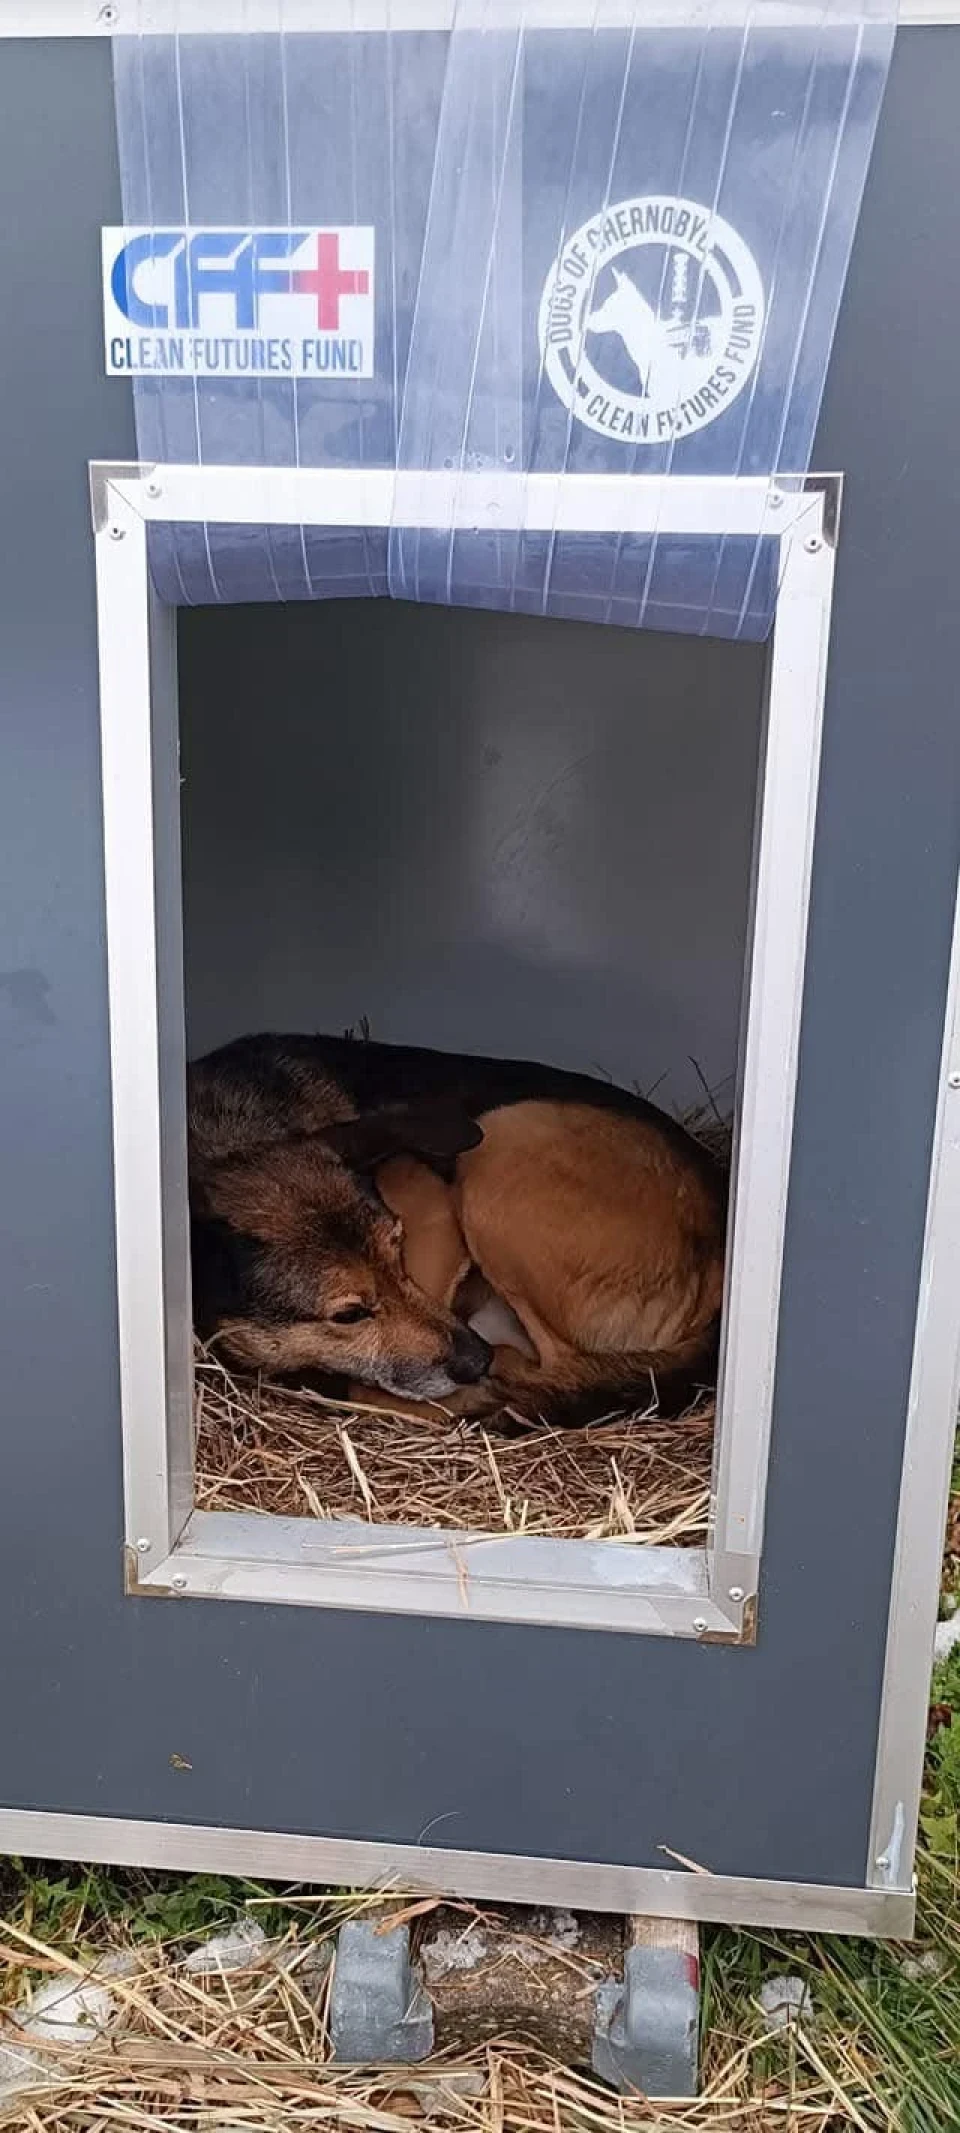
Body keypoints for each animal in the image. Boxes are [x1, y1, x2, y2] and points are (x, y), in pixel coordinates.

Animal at [189, 1028, 729, 1424]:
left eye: (400, 1250)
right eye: (348, 1315)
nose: (477, 1361)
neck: (234, 1136)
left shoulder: (433, 1220)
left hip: (501, 1149)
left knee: (553, 1364)